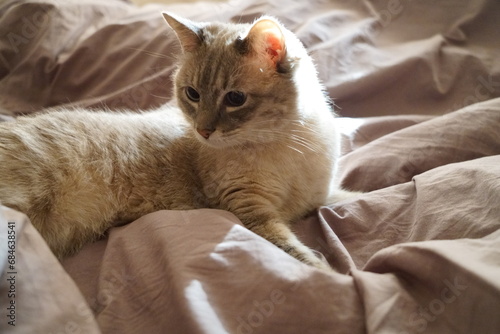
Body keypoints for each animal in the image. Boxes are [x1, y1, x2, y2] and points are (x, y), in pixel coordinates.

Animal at [0, 12, 354, 272]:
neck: (285, 143)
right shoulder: (251, 212)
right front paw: (334, 275)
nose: (203, 131)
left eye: (235, 99)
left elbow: (350, 198)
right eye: (193, 94)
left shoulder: (321, 197)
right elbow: (300, 255)